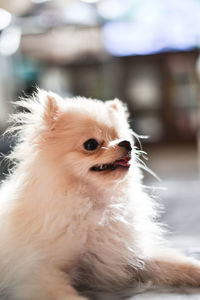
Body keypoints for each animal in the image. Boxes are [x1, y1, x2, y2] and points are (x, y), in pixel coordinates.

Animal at [0, 89, 200, 300]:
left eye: (121, 136)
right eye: (91, 144)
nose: (126, 144)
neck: (95, 203)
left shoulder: (126, 254)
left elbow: (178, 263)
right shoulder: (39, 273)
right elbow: (67, 295)